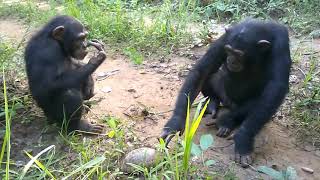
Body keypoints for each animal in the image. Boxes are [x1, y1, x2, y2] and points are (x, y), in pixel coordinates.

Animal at [160, 18, 292, 167]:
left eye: (239, 54)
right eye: (228, 50)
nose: (231, 60)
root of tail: (229, 103)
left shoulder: (281, 43)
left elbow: (275, 88)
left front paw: (243, 140)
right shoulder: (225, 38)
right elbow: (202, 69)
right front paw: (174, 124)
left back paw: (226, 121)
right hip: (223, 95)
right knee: (211, 74)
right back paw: (212, 103)